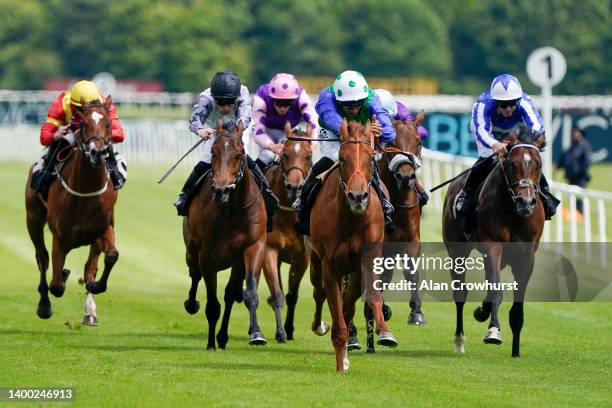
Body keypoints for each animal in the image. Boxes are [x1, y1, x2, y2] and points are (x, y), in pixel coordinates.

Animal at [25, 98, 119, 326]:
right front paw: (63, 277)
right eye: (83, 124)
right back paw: (44, 304)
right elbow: (57, 285)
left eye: (108, 124)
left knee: (90, 266)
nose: (97, 152)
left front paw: (94, 286)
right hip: (33, 218)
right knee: (42, 258)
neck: (85, 190)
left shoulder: (103, 228)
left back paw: (90, 312)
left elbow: (111, 257)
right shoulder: (60, 236)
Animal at [182, 119, 268, 350]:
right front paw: (211, 343)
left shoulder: (251, 248)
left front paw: (256, 333)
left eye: (239, 154)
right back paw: (191, 304)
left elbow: (248, 294)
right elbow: (212, 304)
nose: (221, 190)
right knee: (194, 273)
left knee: (230, 294)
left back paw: (223, 336)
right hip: (191, 250)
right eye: (213, 151)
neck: (231, 209)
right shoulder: (206, 256)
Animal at [308, 119, 400, 372]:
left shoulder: (367, 259)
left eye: (371, 157)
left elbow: (368, 298)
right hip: (314, 259)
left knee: (346, 307)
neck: (351, 218)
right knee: (318, 292)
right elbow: (337, 316)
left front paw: (385, 333)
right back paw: (320, 326)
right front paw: (340, 365)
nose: (357, 197)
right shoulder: (330, 265)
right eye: (341, 157)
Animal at [444, 137, 544, 356]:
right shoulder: (493, 246)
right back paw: (459, 340)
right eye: (512, 164)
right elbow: (497, 290)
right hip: (457, 249)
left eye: (539, 165)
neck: (513, 212)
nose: (525, 201)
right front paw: (493, 331)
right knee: (460, 293)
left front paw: (515, 352)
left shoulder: (527, 257)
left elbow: (517, 306)